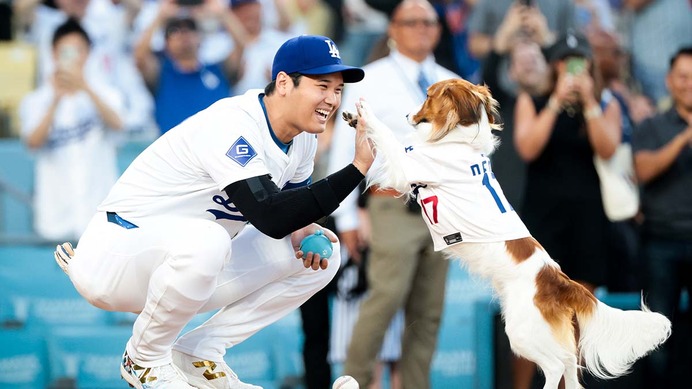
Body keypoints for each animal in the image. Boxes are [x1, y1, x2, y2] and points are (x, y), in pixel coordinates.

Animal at [344, 79, 672, 388]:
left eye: (428, 96)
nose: (407, 114)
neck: (458, 140)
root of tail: (561, 281)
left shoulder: (406, 166)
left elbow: (387, 135)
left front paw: (365, 113)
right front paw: (352, 118)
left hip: (521, 331)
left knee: (555, 366)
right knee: (569, 366)